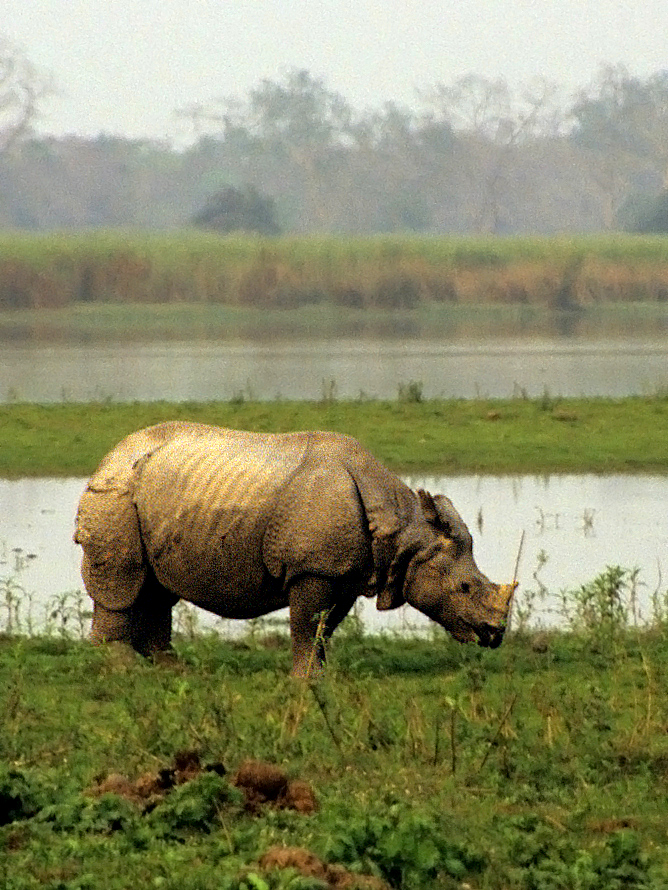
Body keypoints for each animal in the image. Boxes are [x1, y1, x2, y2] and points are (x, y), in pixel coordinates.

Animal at [74, 422, 514, 676]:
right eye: (464, 588)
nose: (495, 634)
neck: (403, 528)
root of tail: (107, 457)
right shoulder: (312, 568)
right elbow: (306, 623)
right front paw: (306, 680)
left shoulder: (344, 572)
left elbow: (325, 626)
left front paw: (324, 675)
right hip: (117, 494)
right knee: (124, 584)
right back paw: (123, 672)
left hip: (153, 496)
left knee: (157, 589)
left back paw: (173, 671)